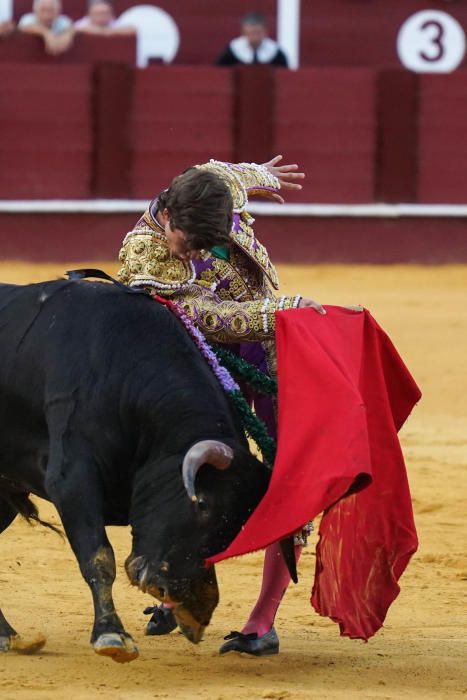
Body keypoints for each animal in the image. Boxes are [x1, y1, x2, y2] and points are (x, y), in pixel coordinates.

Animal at [0, 278, 270, 660]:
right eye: (202, 505)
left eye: (233, 530)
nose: (168, 587)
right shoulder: (72, 479)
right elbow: (99, 556)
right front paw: (111, 635)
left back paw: (10, 636)